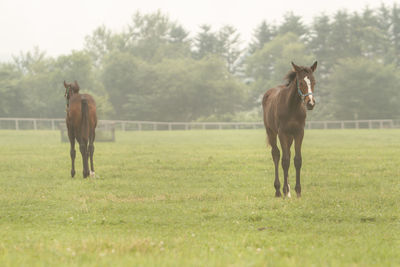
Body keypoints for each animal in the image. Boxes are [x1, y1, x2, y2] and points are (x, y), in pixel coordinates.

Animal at [262, 61, 318, 198]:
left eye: (314, 82)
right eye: (301, 82)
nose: (310, 103)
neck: (292, 107)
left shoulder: (299, 133)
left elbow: (297, 160)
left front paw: (297, 191)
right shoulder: (282, 133)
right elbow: (285, 160)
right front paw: (284, 190)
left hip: (290, 136)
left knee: (287, 153)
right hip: (271, 132)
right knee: (276, 154)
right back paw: (278, 190)